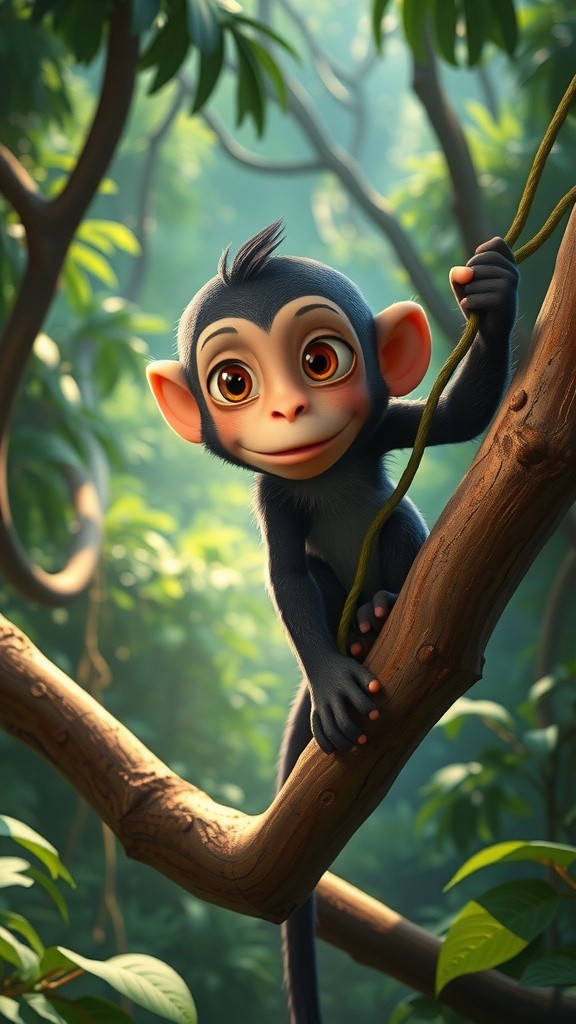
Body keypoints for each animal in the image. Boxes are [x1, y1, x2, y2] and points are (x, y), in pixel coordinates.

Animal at [146, 221, 518, 1024]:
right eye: (233, 382)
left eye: (321, 361)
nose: (288, 413)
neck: (320, 472)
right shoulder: (273, 493)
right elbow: (288, 579)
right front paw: (331, 685)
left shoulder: (378, 428)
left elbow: (462, 418)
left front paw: (494, 292)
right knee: (319, 582)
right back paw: (355, 637)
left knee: (402, 525)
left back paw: (379, 613)